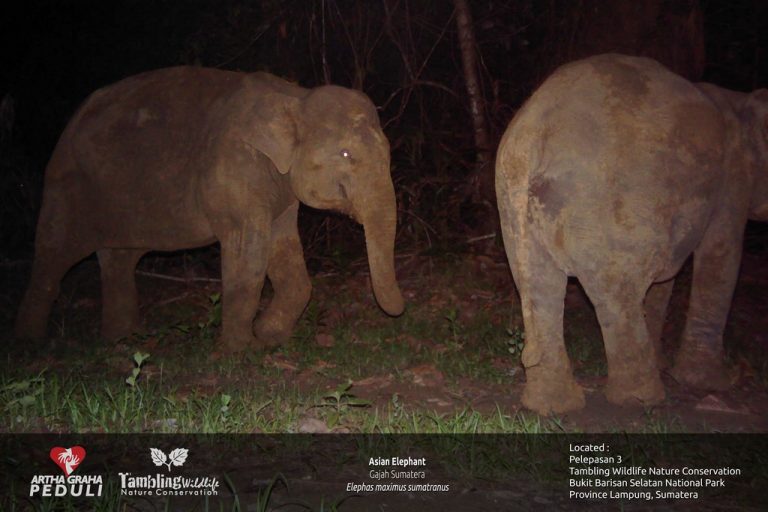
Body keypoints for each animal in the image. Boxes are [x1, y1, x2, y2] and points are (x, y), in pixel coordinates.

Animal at [14, 67, 404, 352]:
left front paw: (269, 335)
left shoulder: (277, 186)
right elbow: (249, 257)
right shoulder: (234, 170)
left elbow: (283, 251)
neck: (295, 96)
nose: (399, 311)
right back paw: (31, 344)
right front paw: (243, 350)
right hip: (66, 189)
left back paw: (121, 339)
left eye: (388, 152)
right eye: (346, 155)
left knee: (118, 260)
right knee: (54, 257)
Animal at [495, 54, 767, 415]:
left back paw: (554, 406)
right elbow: (722, 257)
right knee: (618, 291)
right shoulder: (732, 180)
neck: (741, 102)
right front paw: (711, 384)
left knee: (538, 287)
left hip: (515, 207)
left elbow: (667, 280)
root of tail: (531, 137)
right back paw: (642, 399)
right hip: (605, 209)